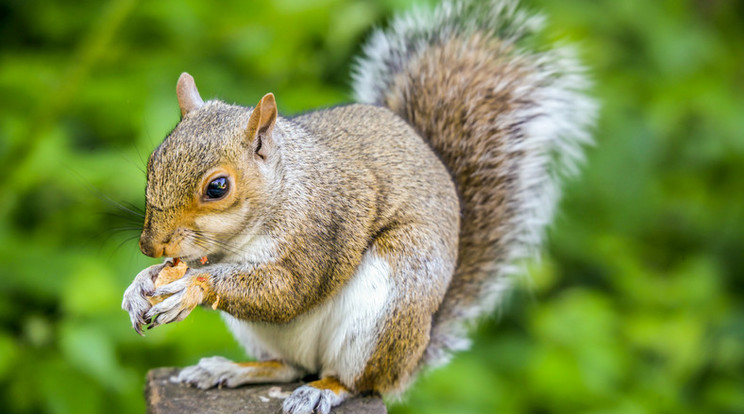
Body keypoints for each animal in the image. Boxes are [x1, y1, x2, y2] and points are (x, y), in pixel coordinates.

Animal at [122, 0, 596, 412]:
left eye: (218, 187)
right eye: (153, 161)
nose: (149, 246)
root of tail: (414, 353)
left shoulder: (323, 228)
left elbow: (288, 289)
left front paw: (189, 286)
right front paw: (141, 283)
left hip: (391, 296)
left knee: (357, 381)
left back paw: (324, 389)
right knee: (288, 366)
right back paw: (232, 369)